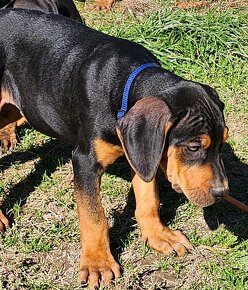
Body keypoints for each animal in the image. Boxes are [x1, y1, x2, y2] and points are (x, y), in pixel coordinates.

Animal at [0, 9, 229, 290]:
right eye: (194, 147)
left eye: (223, 142)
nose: (222, 193)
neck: (122, 88)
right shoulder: (85, 161)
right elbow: (94, 216)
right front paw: (98, 264)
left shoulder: (142, 153)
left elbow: (148, 199)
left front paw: (158, 235)